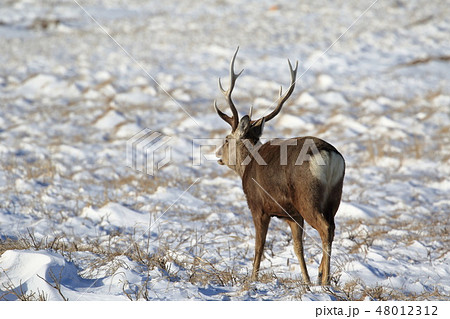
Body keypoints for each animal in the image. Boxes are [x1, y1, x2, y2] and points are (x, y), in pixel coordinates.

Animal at [214, 48, 344, 288]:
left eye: (226, 139)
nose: (218, 154)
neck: (248, 164)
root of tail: (330, 155)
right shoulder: (292, 215)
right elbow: (298, 248)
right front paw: (306, 280)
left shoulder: (258, 205)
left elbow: (259, 246)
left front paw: (253, 279)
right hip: (334, 198)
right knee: (332, 227)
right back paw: (321, 274)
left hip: (308, 197)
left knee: (325, 228)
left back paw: (325, 281)